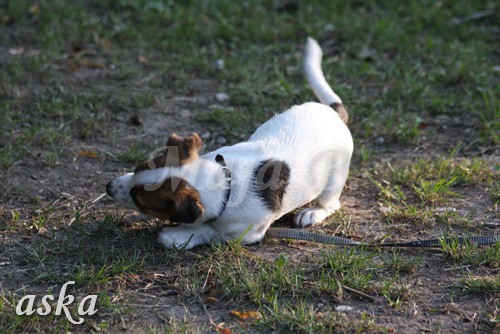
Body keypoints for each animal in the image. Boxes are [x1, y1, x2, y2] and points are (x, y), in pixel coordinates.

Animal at [107, 37, 354, 249]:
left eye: (140, 201)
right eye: (138, 168)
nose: (108, 187)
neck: (226, 182)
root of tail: (334, 112)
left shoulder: (245, 234)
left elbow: (209, 231)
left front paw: (176, 236)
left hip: (334, 180)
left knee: (331, 203)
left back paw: (313, 212)